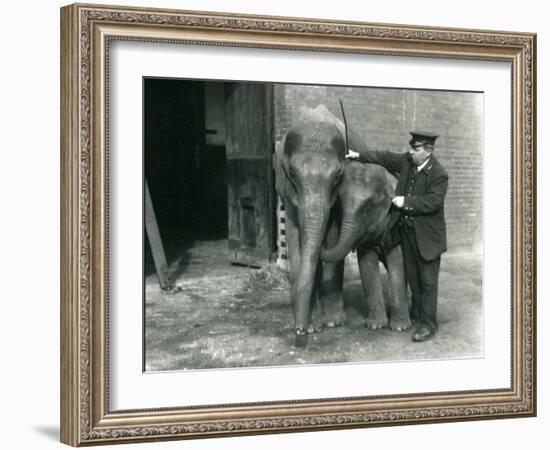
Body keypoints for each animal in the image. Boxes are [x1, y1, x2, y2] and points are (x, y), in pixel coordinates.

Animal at [276, 105, 350, 348]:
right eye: (292, 174)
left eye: (337, 176)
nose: (299, 332)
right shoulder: (287, 191)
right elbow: (293, 234)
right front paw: (309, 327)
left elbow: (333, 233)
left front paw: (331, 323)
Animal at [320, 160, 414, 332]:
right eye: (340, 204)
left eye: (369, 206)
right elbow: (367, 263)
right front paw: (375, 326)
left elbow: (397, 261)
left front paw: (399, 328)